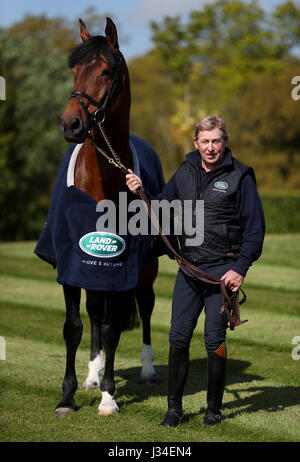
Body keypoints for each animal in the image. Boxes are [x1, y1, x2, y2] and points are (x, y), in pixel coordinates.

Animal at [35, 18, 168, 416]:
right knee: (94, 312)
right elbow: (74, 326)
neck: (103, 179)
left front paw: (109, 397)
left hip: (146, 269)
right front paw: (68, 396)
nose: (71, 124)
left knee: (145, 306)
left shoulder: (124, 265)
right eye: (74, 70)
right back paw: (92, 375)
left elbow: (112, 328)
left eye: (107, 71)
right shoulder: (71, 262)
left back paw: (146, 369)